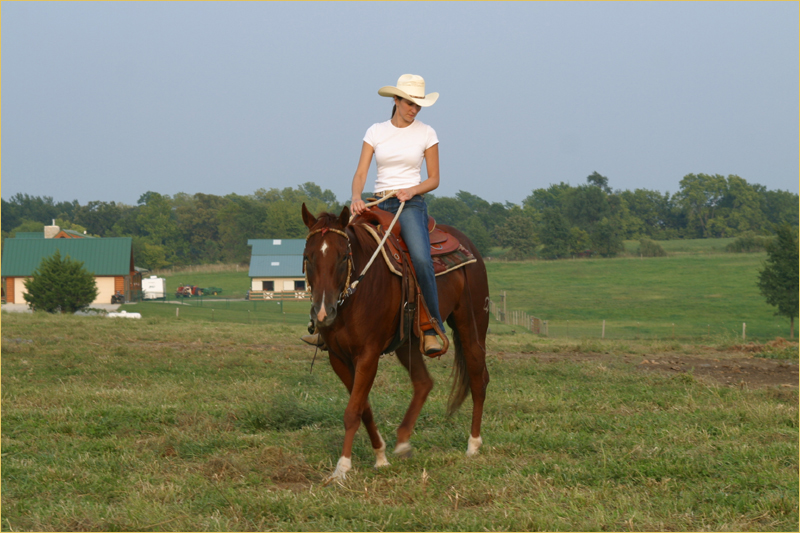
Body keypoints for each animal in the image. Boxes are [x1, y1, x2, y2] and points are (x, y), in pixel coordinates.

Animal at [300, 203, 488, 478]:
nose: (323, 312)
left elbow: (352, 411)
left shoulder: (368, 355)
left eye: (343, 257)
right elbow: (363, 407)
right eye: (307, 257)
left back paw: (473, 445)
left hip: (472, 326)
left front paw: (342, 467)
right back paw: (403, 442)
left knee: (477, 378)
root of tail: (467, 244)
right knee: (423, 382)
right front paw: (380, 456)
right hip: (407, 343)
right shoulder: (338, 358)